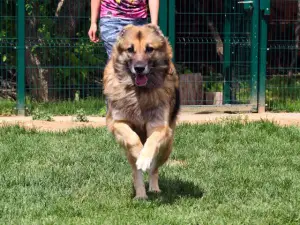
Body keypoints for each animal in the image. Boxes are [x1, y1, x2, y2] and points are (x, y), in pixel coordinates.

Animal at [103, 23, 179, 200]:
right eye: (130, 49)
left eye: (149, 49)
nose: (139, 68)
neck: (138, 93)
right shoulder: (118, 123)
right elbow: (132, 138)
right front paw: (140, 154)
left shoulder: (159, 126)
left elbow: (152, 142)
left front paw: (145, 157)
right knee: (135, 172)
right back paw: (140, 195)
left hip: (167, 147)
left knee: (154, 169)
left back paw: (153, 188)